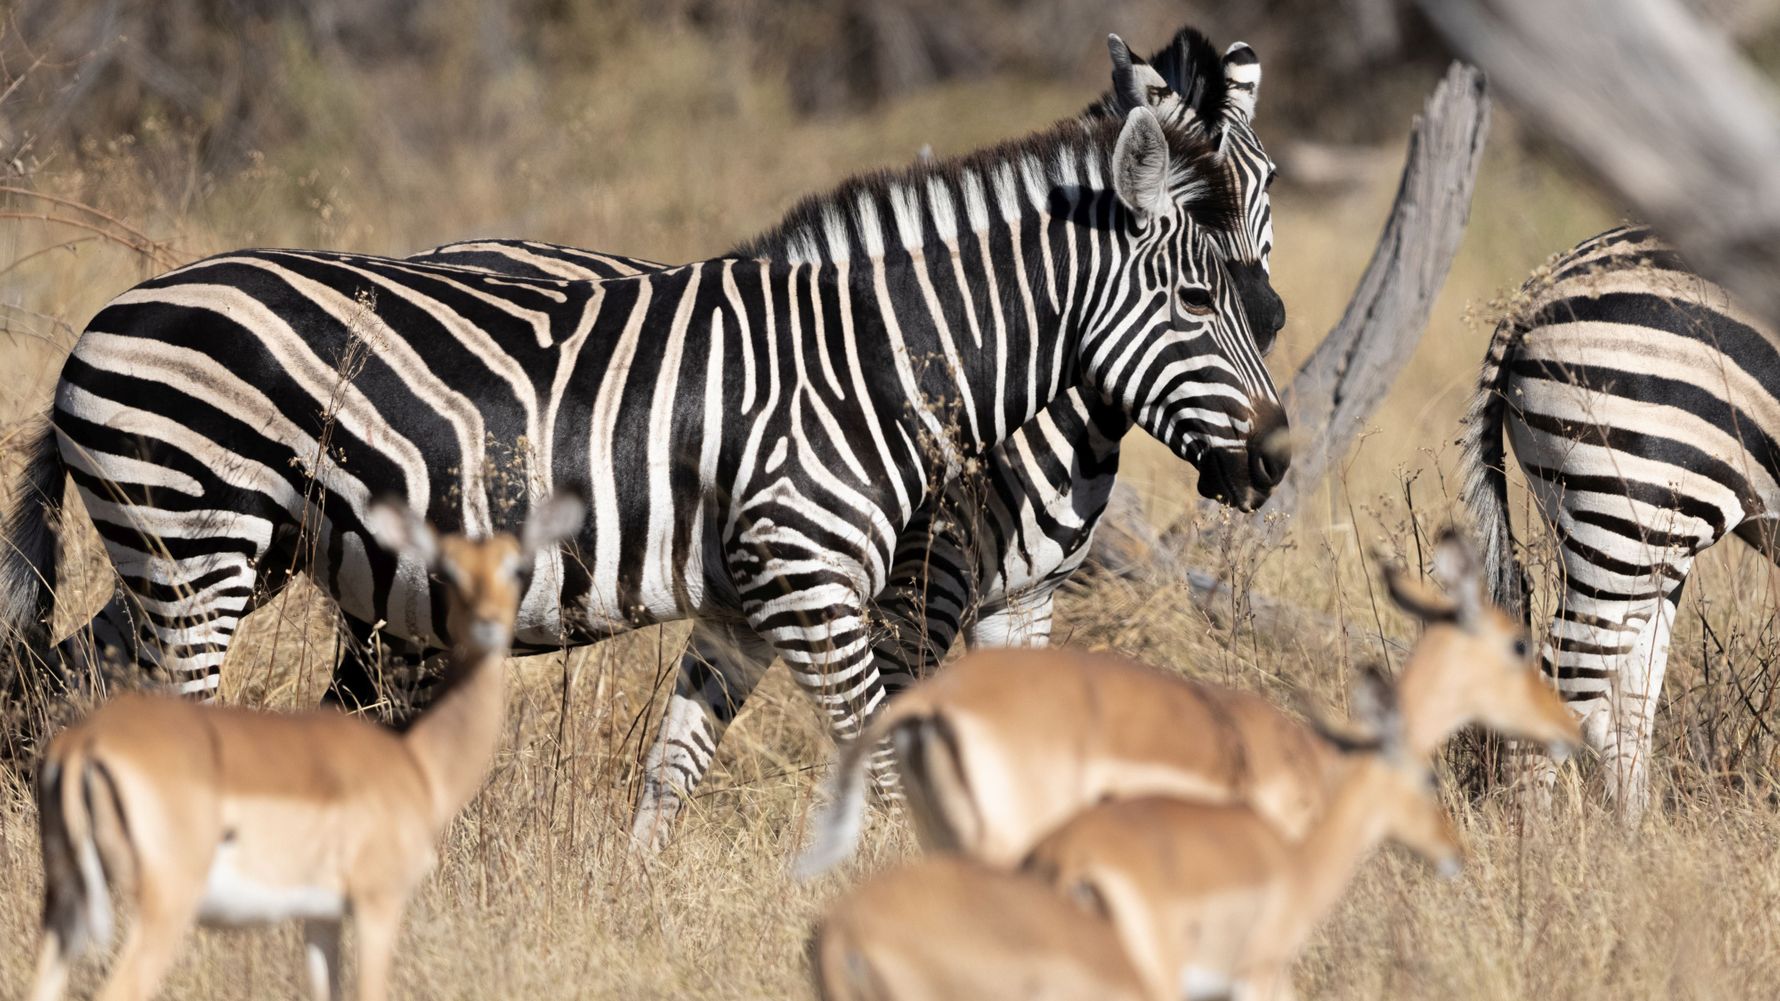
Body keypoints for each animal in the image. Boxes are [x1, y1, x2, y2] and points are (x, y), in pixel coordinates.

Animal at [404, 27, 1281, 844]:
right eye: (1197, 277)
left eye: (1266, 184)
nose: (1269, 318)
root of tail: (451, 243)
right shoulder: (905, 601)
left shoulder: (1025, 603)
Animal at [1459, 221, 1780, 815]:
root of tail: (1539, 289)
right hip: (1636, 506)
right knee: (1559, 706)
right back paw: (1540, 845)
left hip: (1645, 537)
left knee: (1623, 704)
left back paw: (1637, 841)